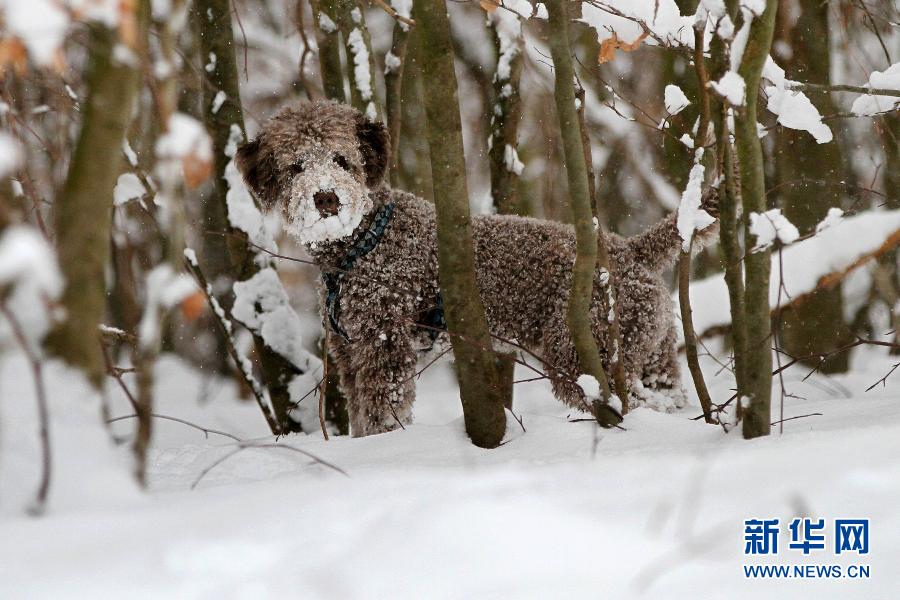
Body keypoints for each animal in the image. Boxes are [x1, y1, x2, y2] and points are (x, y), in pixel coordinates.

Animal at [237, 99, 716, 436]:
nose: (326, 198)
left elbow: (380, 415)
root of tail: (632, 248)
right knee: (667, 397)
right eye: (296, 166)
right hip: (652, 352)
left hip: (584, 352)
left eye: (342, 159)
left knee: (626, 403)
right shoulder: (349, 352)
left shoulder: (384, 346)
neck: (364, 243)